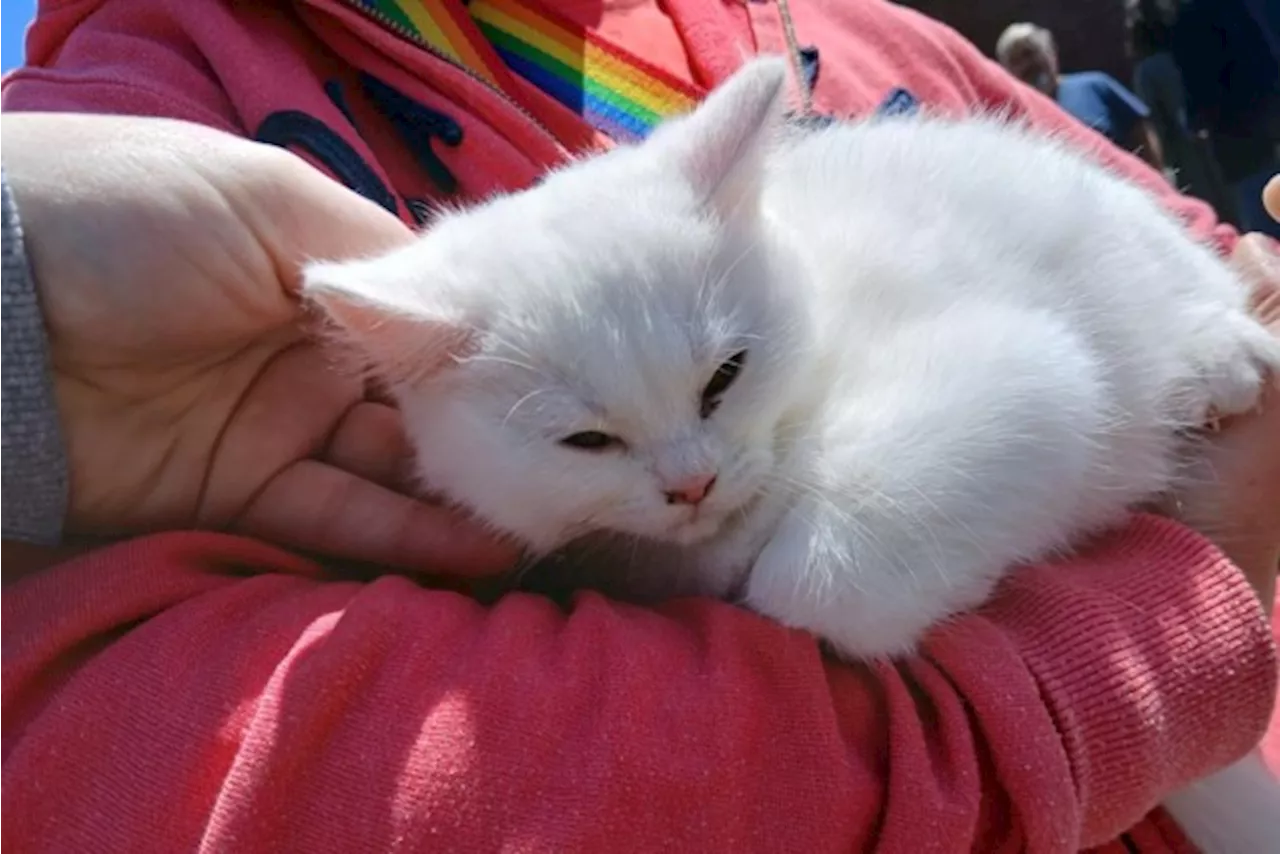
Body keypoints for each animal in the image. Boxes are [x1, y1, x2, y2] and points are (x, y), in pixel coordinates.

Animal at [307, 60, 1280, 854]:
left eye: (724, 378)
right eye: (588, 441)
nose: (691, 484)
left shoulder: (1028, 373)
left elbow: (808, 584)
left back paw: (1216, 357)